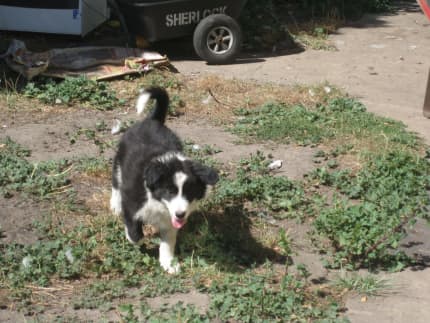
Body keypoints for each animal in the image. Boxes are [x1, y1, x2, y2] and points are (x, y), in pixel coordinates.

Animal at [110, 86, 218, 274]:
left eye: (189, 193)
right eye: (169, 191)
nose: (181, 214)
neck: (157, 201)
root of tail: (153, 121)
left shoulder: (170, 221)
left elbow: (168, 242)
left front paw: (169, 263)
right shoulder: (131, 203)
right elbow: (135, 232)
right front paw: (135, 238)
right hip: (119, 161)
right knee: (116, 183)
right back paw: (114, 205)